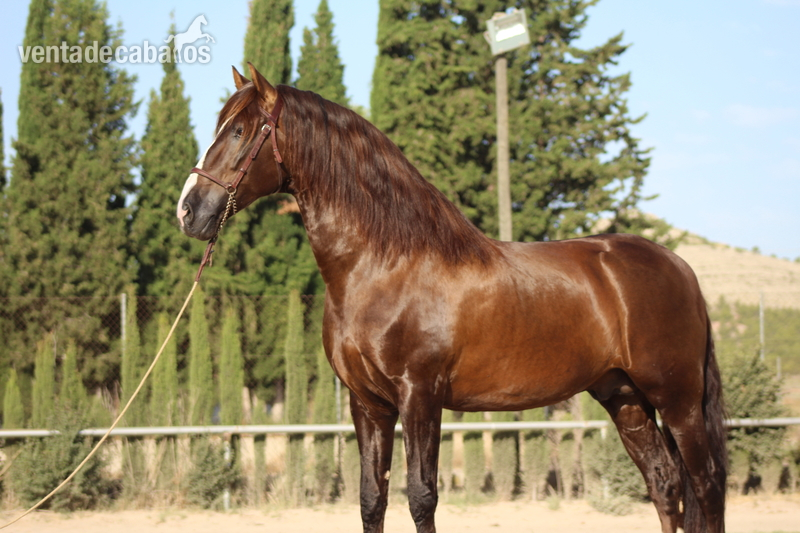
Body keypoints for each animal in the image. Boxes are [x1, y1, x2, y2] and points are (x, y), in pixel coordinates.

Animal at [176, 64, 726, 533]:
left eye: (239, 131)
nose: (187, 211)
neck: (383, 266)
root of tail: (681, 268)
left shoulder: (421, 396)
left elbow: (422, 496)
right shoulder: (368, 404)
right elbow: (371, 498)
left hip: (677, 399)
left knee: (706, 485)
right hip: (625, 397)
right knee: (665, 483)